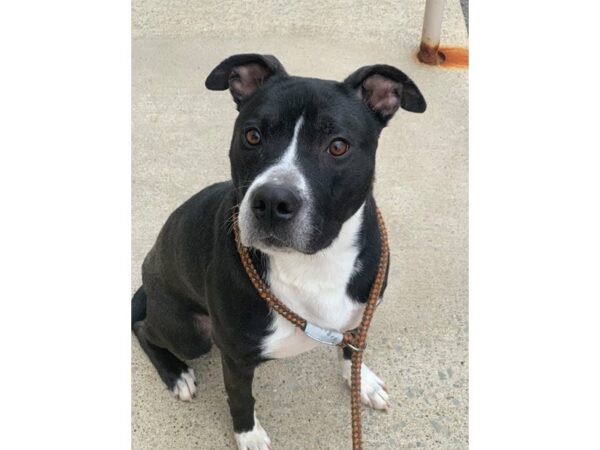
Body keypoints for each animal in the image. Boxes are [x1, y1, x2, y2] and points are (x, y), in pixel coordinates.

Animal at [130, 54, 426, 448]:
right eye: (252, 135)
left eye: (338, 146)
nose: (272, 201)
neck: (314, 263)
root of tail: (148, 272)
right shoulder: (236, 357)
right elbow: (241, 398)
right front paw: (248, 435)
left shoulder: (361, 315)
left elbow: (352, 348)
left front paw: (361, 381)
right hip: (190, 333)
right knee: (144, 328)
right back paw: (177, 373)